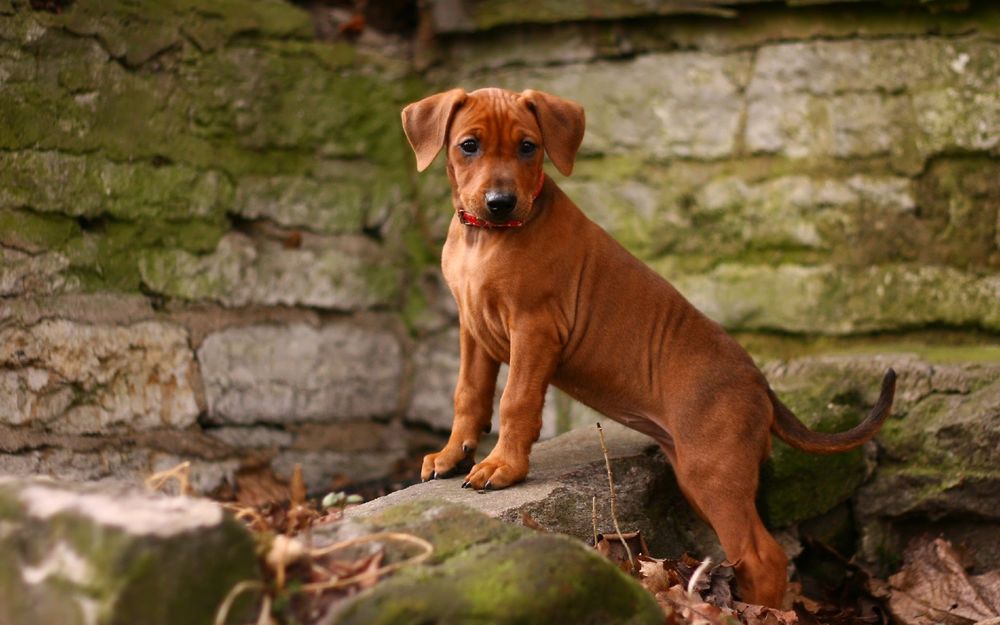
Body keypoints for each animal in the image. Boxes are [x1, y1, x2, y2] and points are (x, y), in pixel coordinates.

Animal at [402, 89, 896, 608]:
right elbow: (468, 394)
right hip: (699, 474)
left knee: (764, 557)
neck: (486, 238)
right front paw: (453, 452)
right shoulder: (473, 327)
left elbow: (515, 401)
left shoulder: (535, 329)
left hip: (714, 472)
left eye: (528, 147)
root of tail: (760, 382)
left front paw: (503, 466)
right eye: (469, 145)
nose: (500, 203)